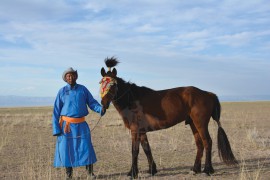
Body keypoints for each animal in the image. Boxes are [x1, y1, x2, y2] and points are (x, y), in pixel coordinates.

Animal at [99, 57, 236, 178]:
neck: (132, 100)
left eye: (112, 85)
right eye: (101, 84)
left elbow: (135, 151)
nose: (103, 104)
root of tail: (208, 93)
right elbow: (146, 149)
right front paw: (152, 170)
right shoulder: (142, 131)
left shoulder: (135, 130)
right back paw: (195, 169)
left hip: (200, 124)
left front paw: (133, 173)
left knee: (207, 142)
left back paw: (207, 170)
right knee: (199, 144)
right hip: (193, 124)